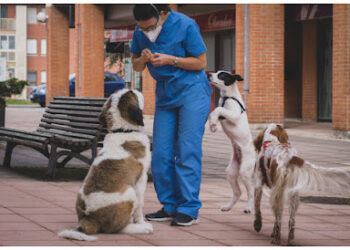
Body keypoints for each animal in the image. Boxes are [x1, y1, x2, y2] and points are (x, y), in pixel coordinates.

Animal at [58, 89, 152, 240]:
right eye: (132, 93)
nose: (137, 89)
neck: (123, 131)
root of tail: (89, 219)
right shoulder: (141, 178)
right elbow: (139, 205)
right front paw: (140, 221)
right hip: (129, 193)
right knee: (117, 229)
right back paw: (141, 228)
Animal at [208, 70, 254, 213]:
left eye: (222, 75)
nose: (208, 74)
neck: (227, 96)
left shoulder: (233, 113)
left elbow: (218, 110)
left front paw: (213, 123)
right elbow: (214, 111)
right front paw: (213, 125)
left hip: (244, 171)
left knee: (251, 192)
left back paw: (249, 207)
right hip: (231, 172)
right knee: (238, 192)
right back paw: (228, 207)